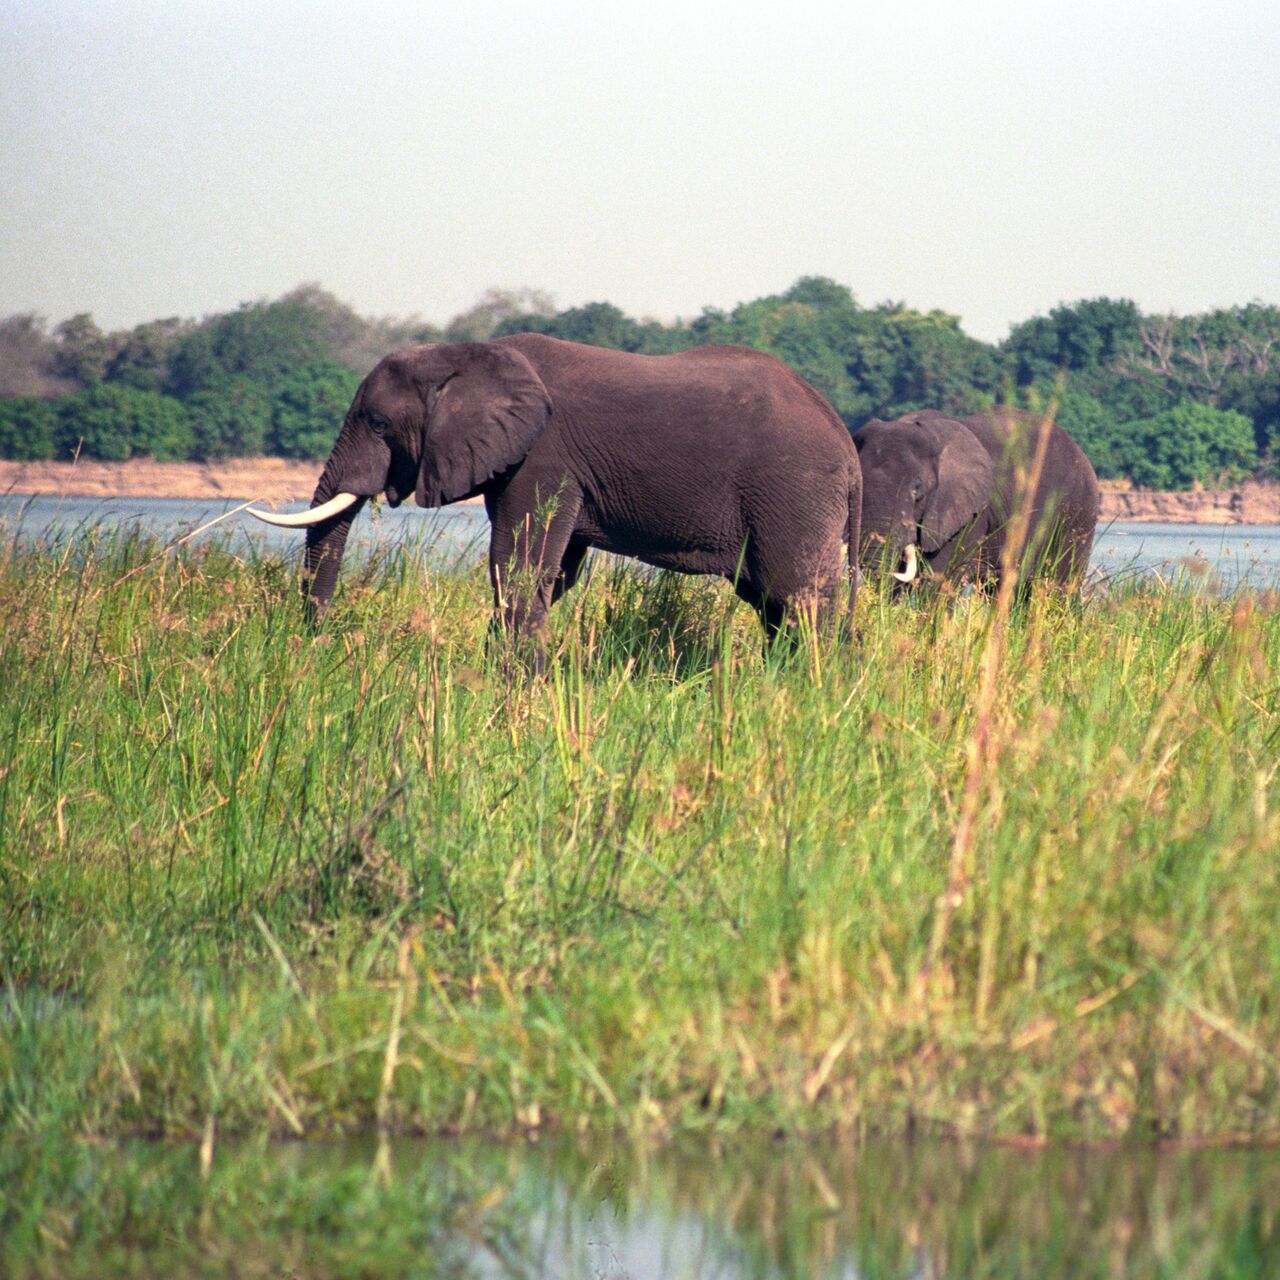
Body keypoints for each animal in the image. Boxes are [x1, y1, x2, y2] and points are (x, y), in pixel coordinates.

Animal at [248, 332, 860, 660]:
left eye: (377, 423)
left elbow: (520, 565)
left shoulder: (542, 458)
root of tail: (846, 440)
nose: (317, 643)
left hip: (794, 491)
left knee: (797, 597)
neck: (467, 354)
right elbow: (550, 573)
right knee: (771, 601)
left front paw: (517, 683)